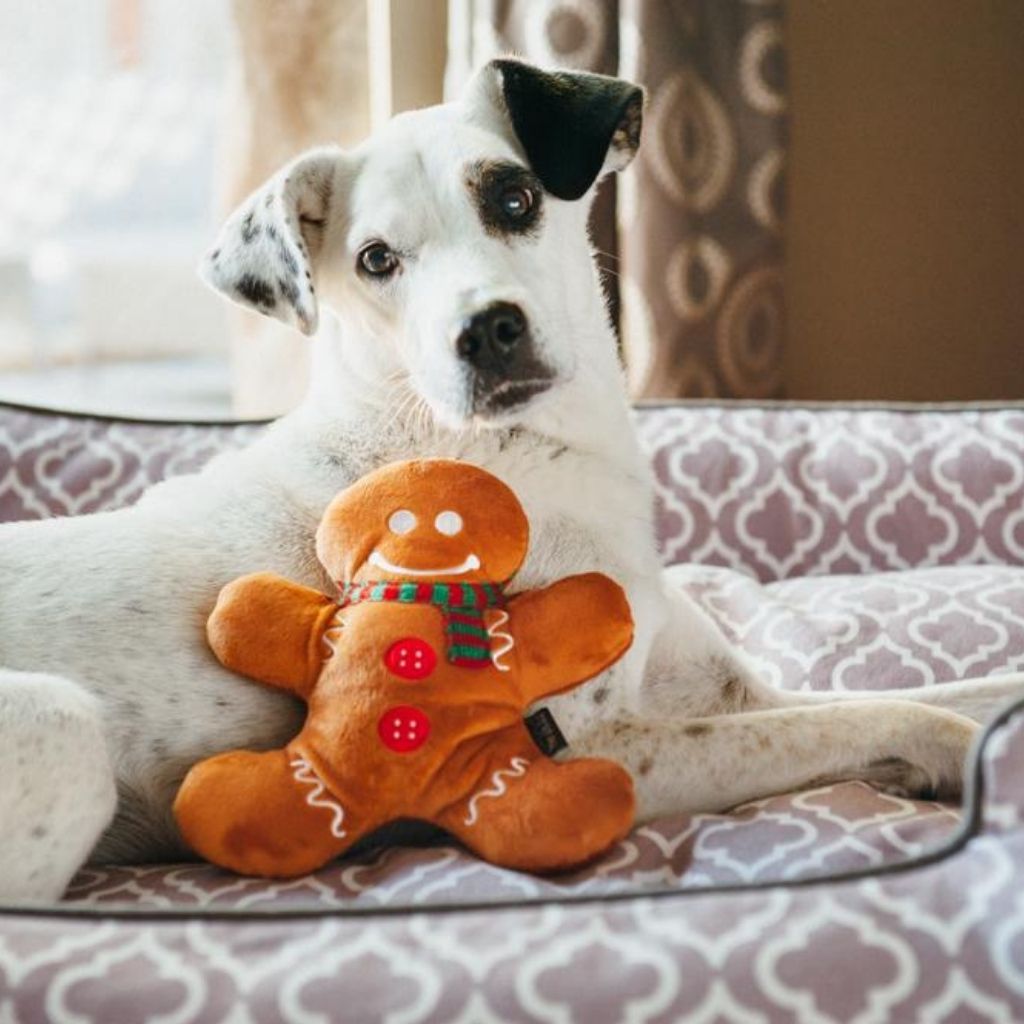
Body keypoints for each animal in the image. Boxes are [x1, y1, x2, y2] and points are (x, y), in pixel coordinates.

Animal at [0, 59, 1015, 901]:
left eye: (515, 195)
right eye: (376, 260)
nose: (485, 331)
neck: (523, 455)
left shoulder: (729, 695)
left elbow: (942, 692)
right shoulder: (596, 752)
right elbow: (902, 717)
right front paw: (964, 762)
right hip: (65, 729)